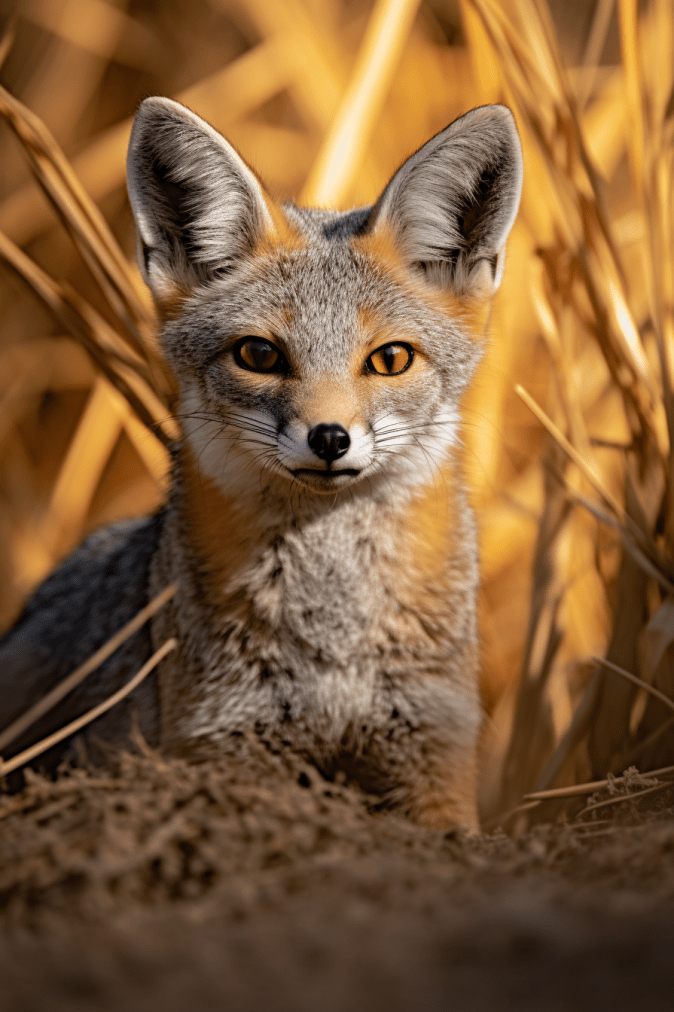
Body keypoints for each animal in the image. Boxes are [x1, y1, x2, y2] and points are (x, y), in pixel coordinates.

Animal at [0, 98, 522, 830]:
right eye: (259, 355)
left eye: (390, 359)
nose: (329, 438)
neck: (334, 643)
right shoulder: (227, 748)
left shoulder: (433, 752)